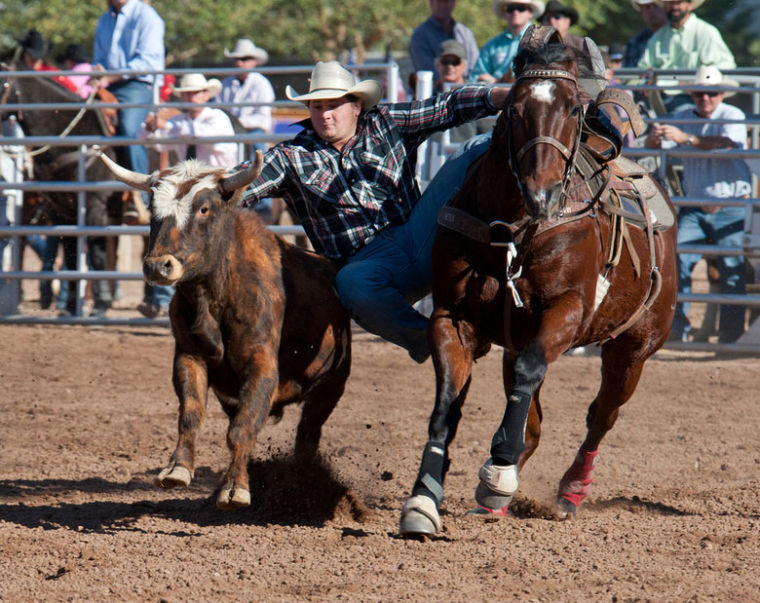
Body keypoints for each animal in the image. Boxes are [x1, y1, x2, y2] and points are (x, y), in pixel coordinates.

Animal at [98, 151, 351, 509]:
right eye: (153, 206)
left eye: (204, 208)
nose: (158, 266)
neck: (214, 296)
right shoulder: (188, 357)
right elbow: (191, 414)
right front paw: (177, 469)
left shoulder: (262, 367)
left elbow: (243, 428)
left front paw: (235, 488)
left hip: (331, 385)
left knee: (308, 434)